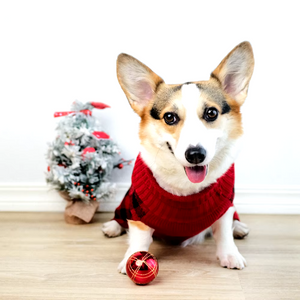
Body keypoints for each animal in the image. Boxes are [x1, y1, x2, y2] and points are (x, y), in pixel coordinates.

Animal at [102, 41, 254, 274]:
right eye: (169, 117)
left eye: (211, 113)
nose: (195, 155)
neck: (186, 186)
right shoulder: (138, 210)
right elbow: (139, 237)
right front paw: (131, 258)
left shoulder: (225, 204)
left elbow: (223, 230)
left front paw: (230, 255)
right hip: (126, 200)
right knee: (120, 214)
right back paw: (112, 226)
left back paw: (239, 227)